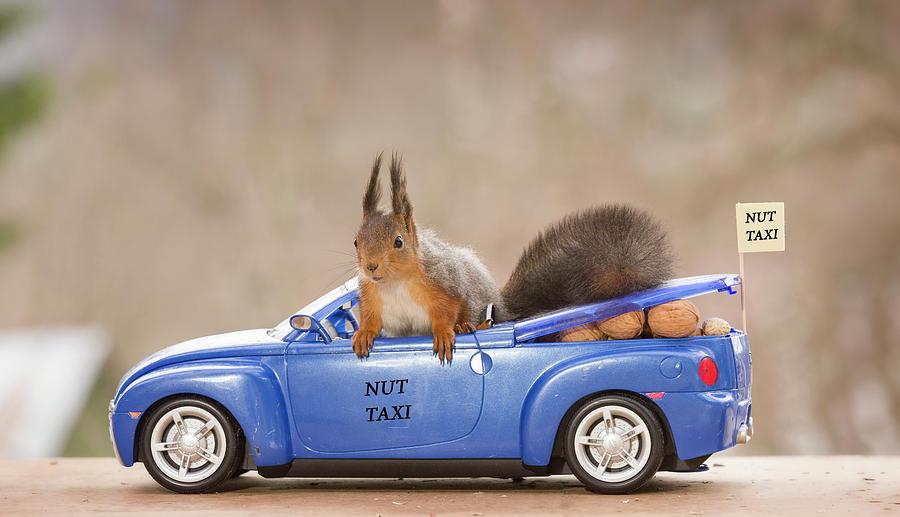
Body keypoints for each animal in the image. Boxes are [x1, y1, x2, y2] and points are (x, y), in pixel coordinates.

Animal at [352, 152, 676, 362]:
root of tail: (505, 307)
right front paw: (364, 334)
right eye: (356, 241)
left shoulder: (443, 282)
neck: (394, 282)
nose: (370, 266)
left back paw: (468, 326)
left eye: (398, 241)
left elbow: (449, 308)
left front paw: (445, 332)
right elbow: (370, 319)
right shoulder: (371, 296)